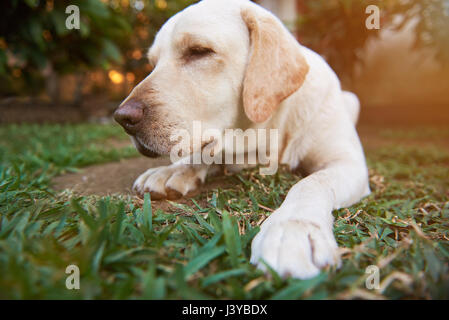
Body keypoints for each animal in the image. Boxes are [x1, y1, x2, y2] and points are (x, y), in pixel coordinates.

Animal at [114, 0, 370, 278]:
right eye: (153, 63)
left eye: (199, 51)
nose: (122, 118)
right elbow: (203, 155)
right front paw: (172, 170)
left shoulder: (348, 163)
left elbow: (311, 183)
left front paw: (291, 229)